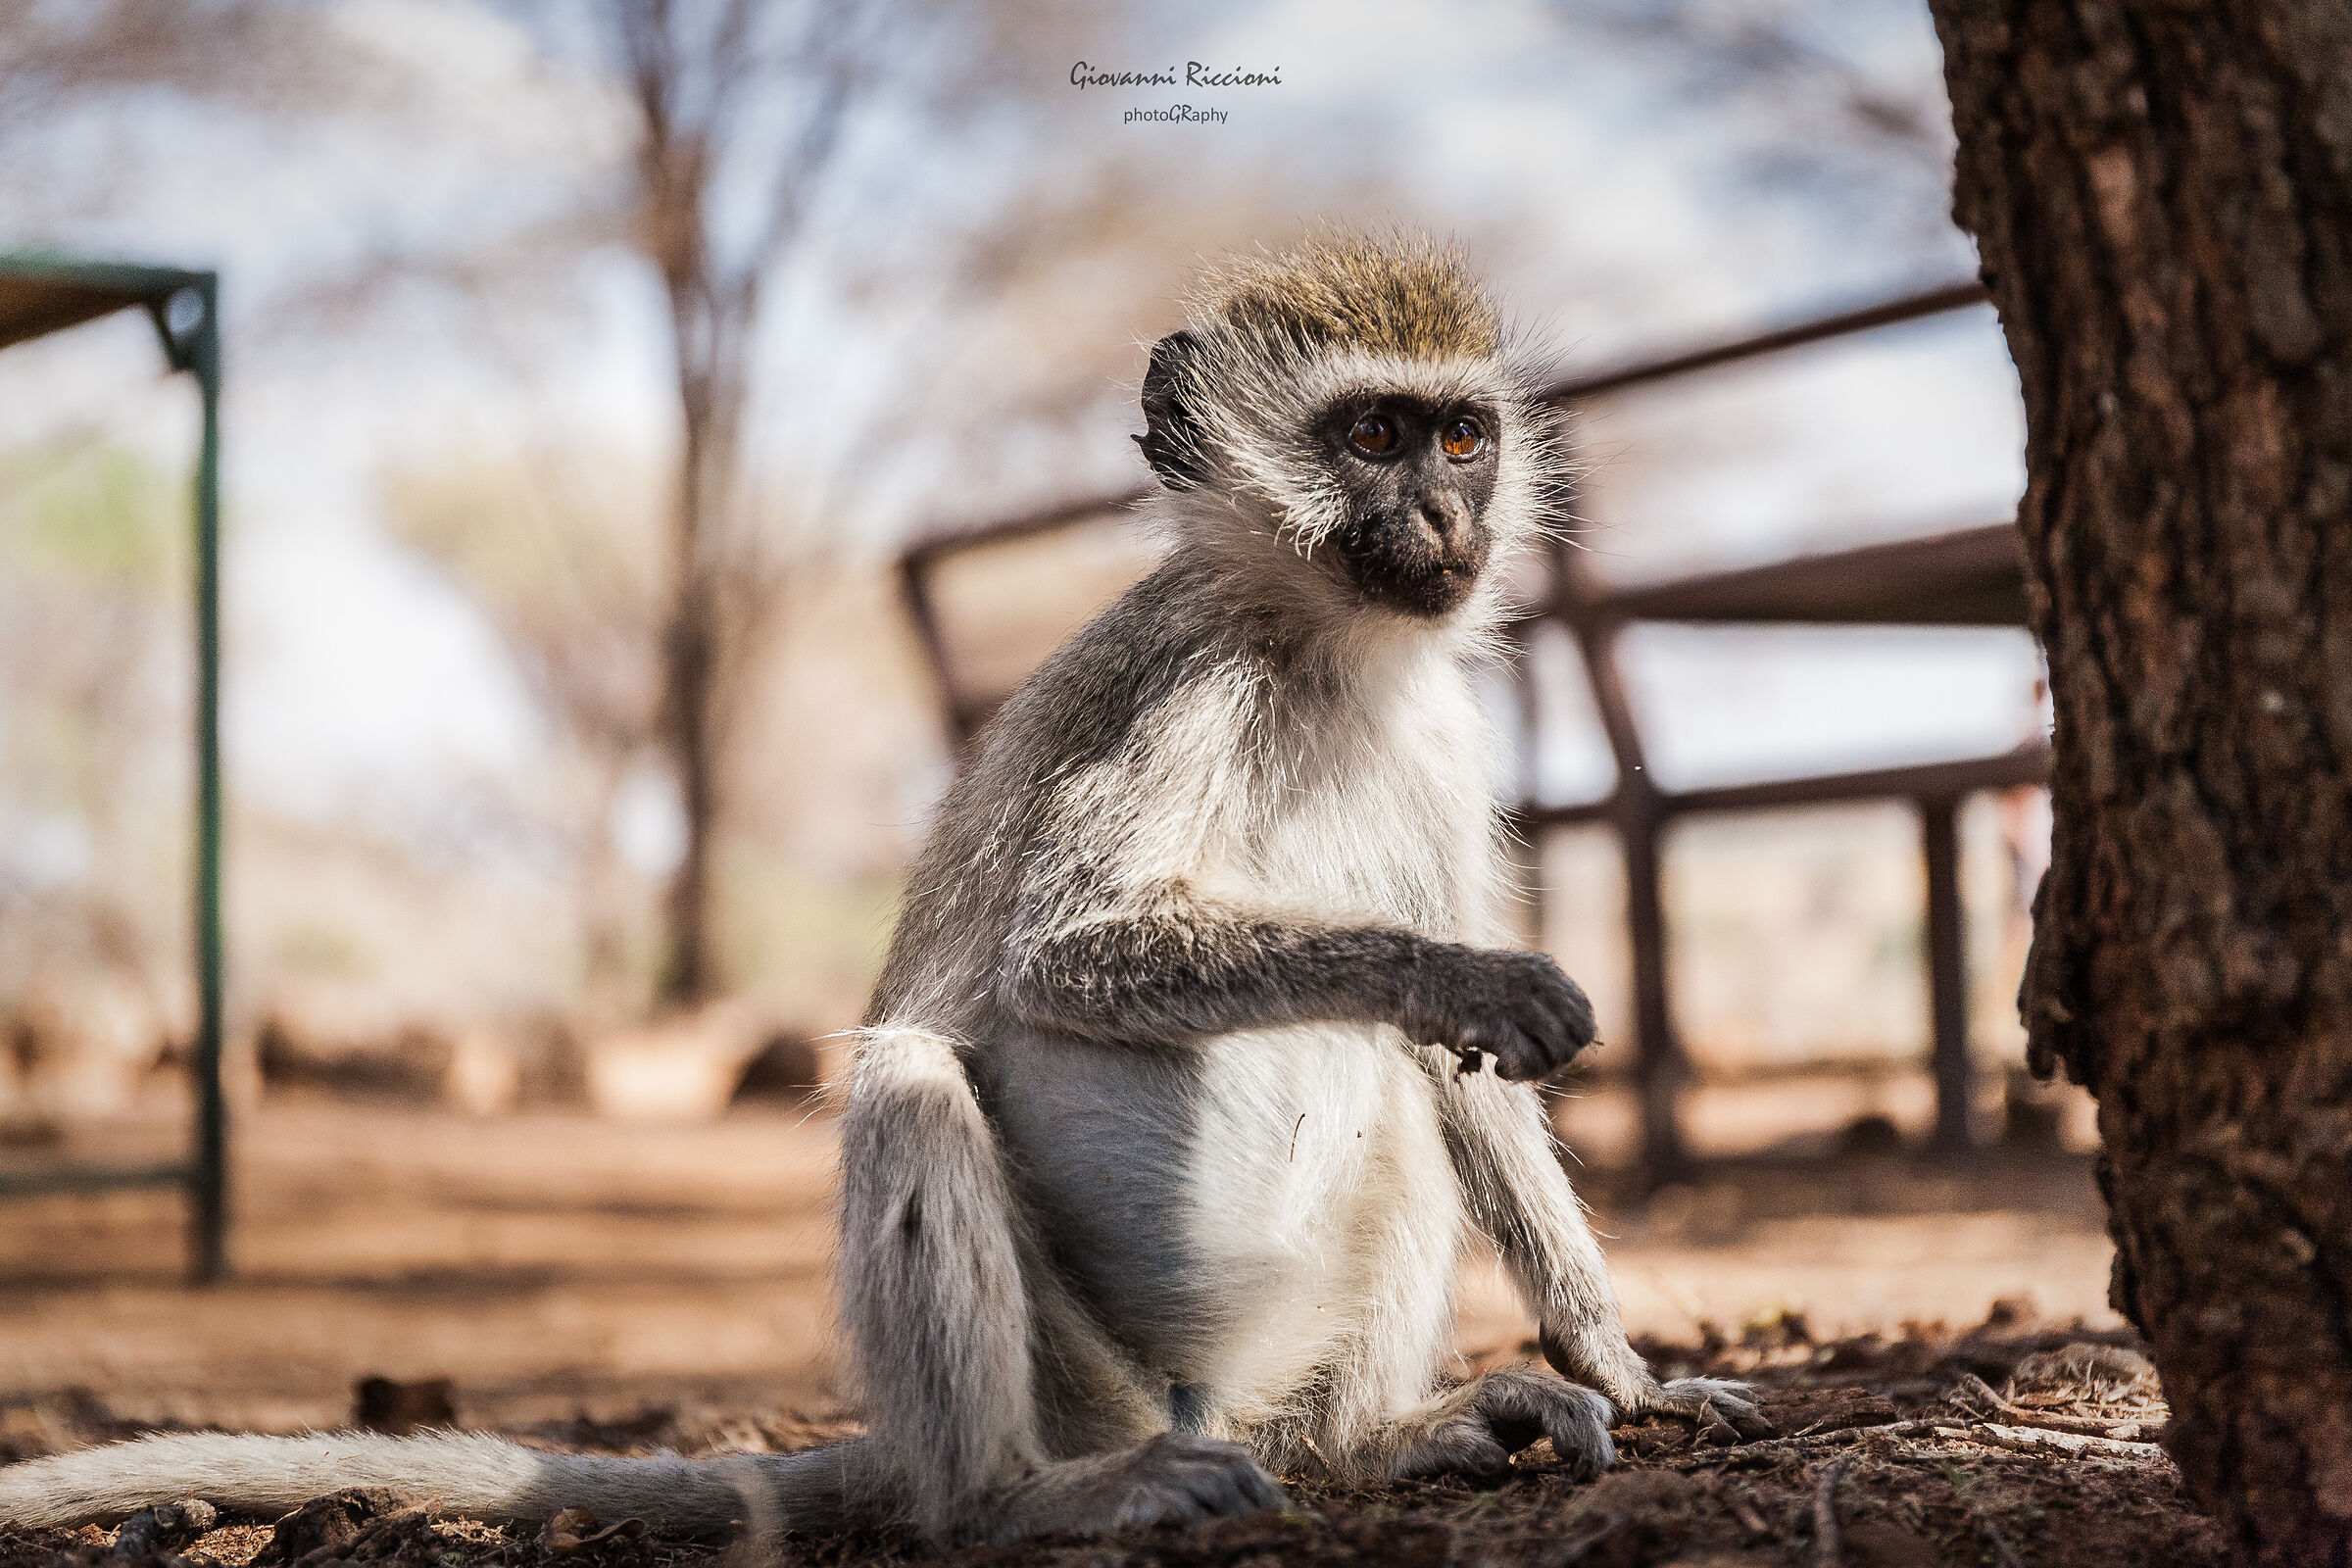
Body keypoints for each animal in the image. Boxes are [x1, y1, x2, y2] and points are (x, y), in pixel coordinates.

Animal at [0, 233, 1766, 1547]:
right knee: (916, 1083)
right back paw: (1017, 1502)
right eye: (1374, 436)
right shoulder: (1177, 689)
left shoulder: (1444, 738)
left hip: (1280, 1358)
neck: (1326, 654)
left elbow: (1461, 1081)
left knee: (1390, 1116)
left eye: (1463, 434)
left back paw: (1379, 1439)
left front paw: (1621, 1362)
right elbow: (1071, 955)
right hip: (1086, 1383)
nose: (1451, 515)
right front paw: (1467, 980)